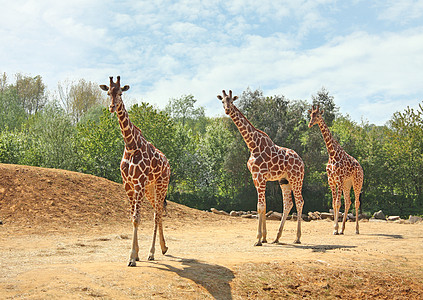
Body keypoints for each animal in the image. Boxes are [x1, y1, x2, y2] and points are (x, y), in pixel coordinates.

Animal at [100, 76, 171, 266]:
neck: (131, 145)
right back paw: (163, 248)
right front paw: (136, 254)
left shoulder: (138, 183)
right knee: (157, 211)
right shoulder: (128, 185)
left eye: (121, 93)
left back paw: (152, 252)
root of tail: (167, 162)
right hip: (150, 188)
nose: (112, 107)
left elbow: (137, 218)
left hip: (162, 184)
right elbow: (132, 217)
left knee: (157, 214)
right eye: (108, 93)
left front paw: (132, 257)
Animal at [219, 89, 304, 246]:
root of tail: (301, 161)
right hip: (284, 180)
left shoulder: (260, 176)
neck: (252, 145)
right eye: (222, 101)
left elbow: (261, 206)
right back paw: (277, 237)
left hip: (296, 178)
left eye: (232, 101)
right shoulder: (256, 177)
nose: (227, 110)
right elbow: (262, 206)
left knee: (300, 202)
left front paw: (258, 239)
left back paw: (297, 237)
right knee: (288, 204)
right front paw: (264, 237)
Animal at [308, 105, 364, 234]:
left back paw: (357, 229)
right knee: (348, 201)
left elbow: (338, 203)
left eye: (318, 115)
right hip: (347, 184)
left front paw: (336, 229)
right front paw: (336, 228)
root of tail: (360, 167)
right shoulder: (331, 181)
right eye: (310, 115)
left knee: (356, 202)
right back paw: (343, 229)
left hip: (357, 182)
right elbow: (334, 204)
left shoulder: (339, 179)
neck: (332, 154)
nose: (310, 124)